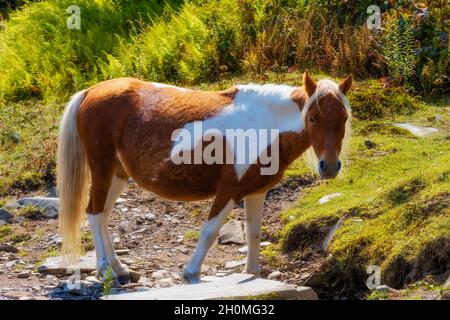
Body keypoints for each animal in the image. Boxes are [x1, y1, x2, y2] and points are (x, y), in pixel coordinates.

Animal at [56, 70, 352, 284]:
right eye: (313, 118)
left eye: (344, 118)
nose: (329, 166)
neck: (265, 125)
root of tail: (91, 91)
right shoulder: (229, 190)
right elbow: (210, 231)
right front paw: (191, 274)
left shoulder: (257, 192)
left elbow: (254, 234)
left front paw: (252, 275)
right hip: (103, 170)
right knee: (95, 214)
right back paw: (105, 270)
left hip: (118, 174)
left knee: (102, 215)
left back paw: (118, 269)